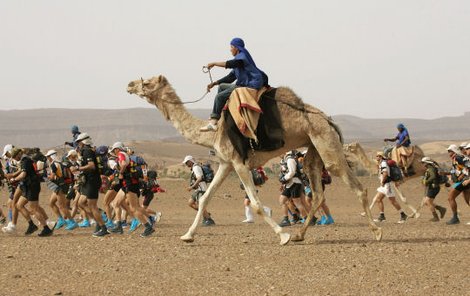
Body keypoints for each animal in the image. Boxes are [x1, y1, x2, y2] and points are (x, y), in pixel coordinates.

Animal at [127, 75, 382, 244]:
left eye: (147, 82)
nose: (129, 84)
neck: (213, 132)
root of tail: (329, 119)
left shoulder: (239, 163)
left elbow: (257, 204)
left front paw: (283, 235)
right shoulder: (226, 163)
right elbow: (205, 198)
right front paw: (188, 235)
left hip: (326, 142)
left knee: (356, 186)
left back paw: (377, 231)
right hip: (314, 147)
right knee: (318, 192)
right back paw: (300, 235)